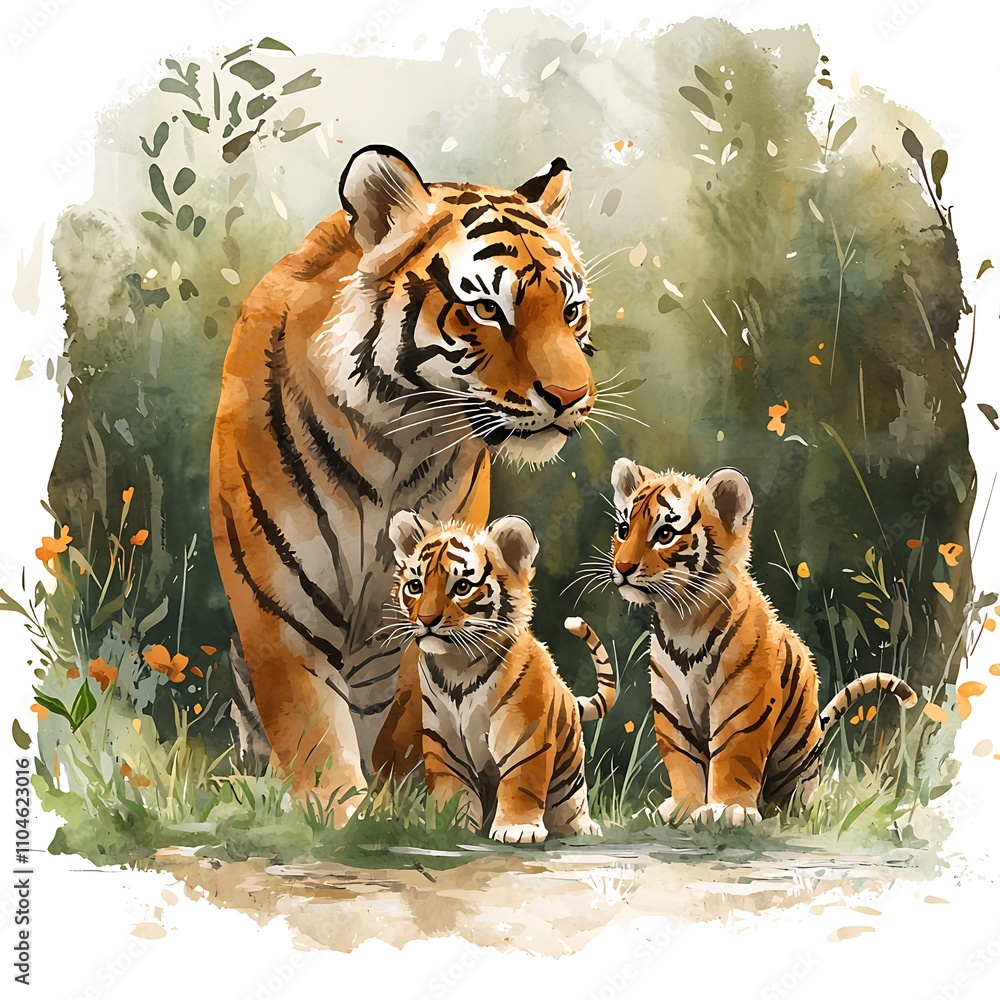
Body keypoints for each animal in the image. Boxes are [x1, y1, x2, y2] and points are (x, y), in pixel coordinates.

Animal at [209, 144, 598, 821]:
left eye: (570, 310)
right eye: (488, 309)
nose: (572, 397)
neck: (396, 438)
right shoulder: (281, 611)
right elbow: (315, 735)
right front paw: (342, 819)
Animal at [387, 510, 617, 843]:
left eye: (462, 586)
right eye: (415, 586)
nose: (426, 619)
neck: (458, 666)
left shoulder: (524, 731)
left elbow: (522, 779)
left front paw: (517, 829)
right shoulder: (444, 741)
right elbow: (452, 787)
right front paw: (449, 826)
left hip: (569, 769)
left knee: (570, 801)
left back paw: (582, 828)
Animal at [605, 458, 918, 828]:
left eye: (665, 534)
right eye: (624, 529)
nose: (622, 567)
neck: (682, 619)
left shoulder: (742, 700)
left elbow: (733, 754)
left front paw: (730, 810)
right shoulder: (672, 706)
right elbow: (682, 762)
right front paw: (685, 809)